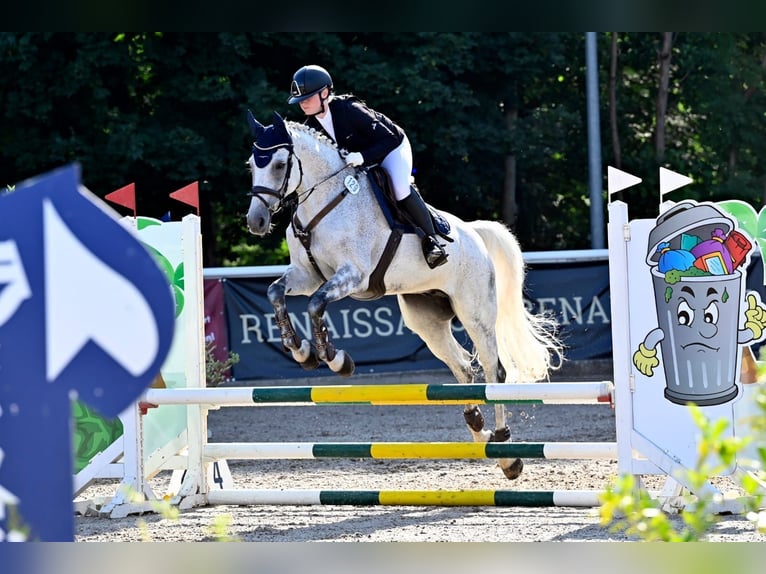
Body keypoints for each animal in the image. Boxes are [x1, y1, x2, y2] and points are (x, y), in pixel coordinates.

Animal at [246, 112, 564, 482]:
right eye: (252, 164)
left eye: (280, 164)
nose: (256, 221)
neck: (324, 202)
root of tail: (473, 232)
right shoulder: (307, 276)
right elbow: (275, 293)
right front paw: (301, 351)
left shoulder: (352, 276)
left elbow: (315, 304)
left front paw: (336, 360)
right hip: (425, 320)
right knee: (463, 368)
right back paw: (479, 429)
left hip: (475, 313)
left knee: (493, 371)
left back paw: (506, 453)